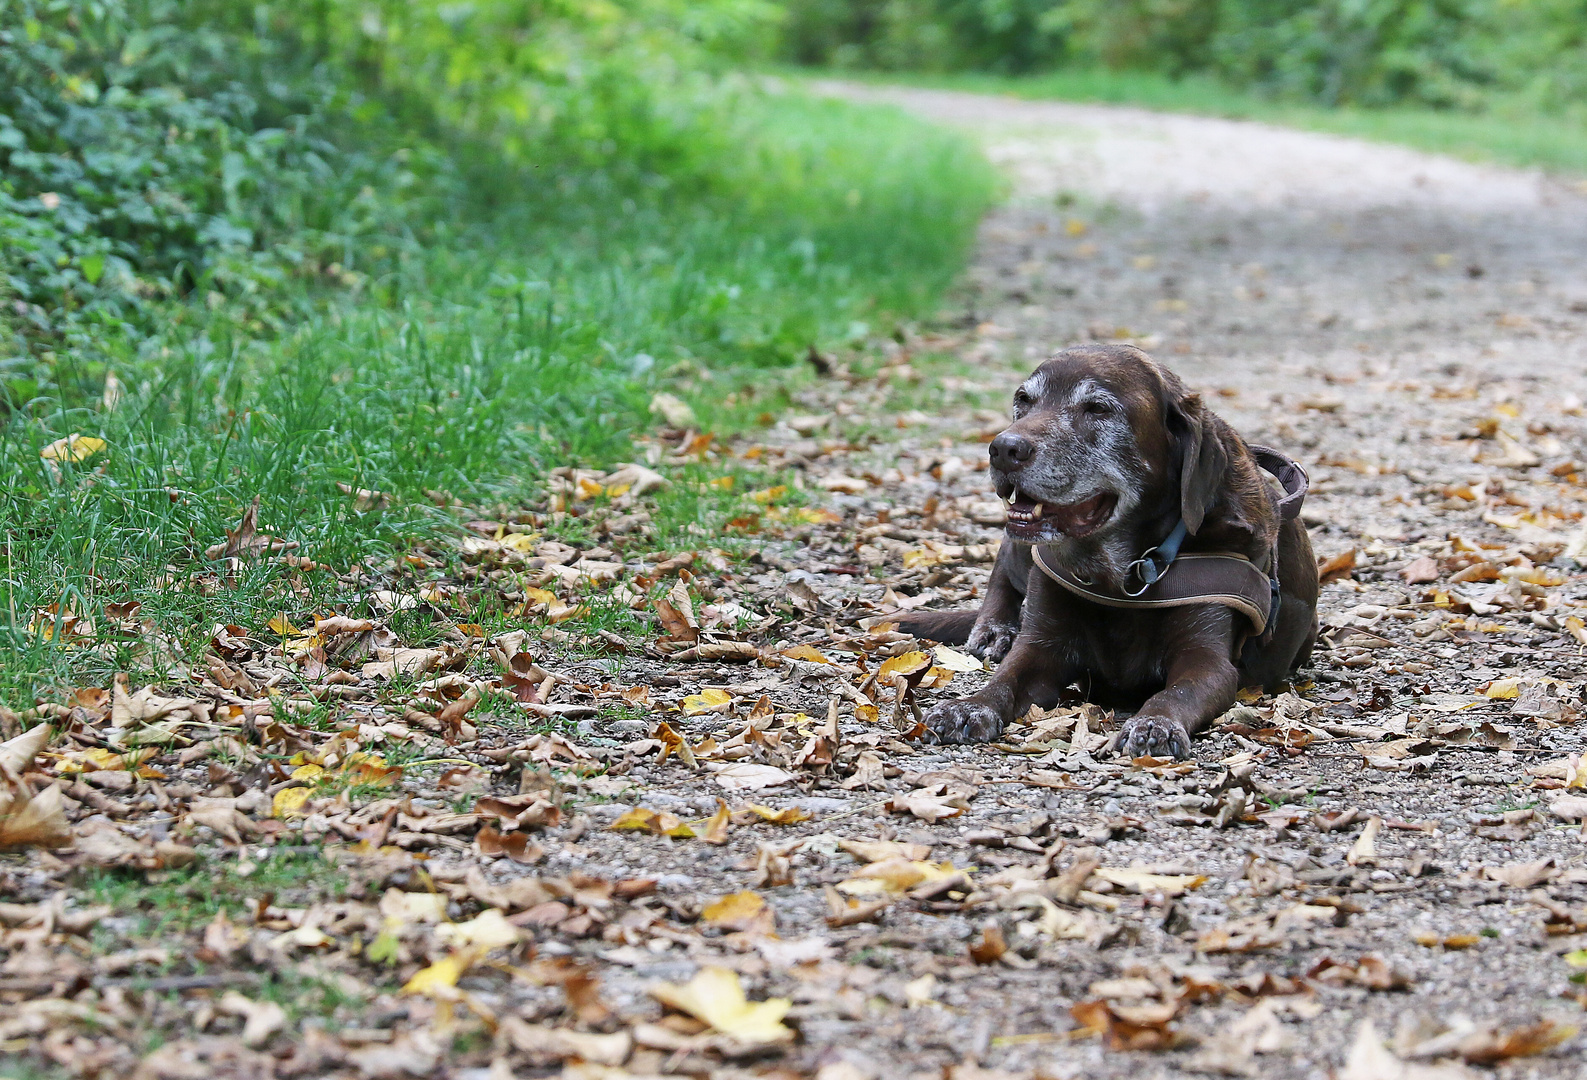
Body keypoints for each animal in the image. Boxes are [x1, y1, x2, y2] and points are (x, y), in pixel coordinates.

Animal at [901, 345, 1320, 758]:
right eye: (1023, 400)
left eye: (1098, 408)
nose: (1003, 448)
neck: (1120, 569)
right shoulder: (1041, 643)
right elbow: (1006, 679)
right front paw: (968, 706)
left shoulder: (1207, 660)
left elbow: (1176, 694)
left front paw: (1154, 723)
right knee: (1004, 564)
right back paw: (994, 629)